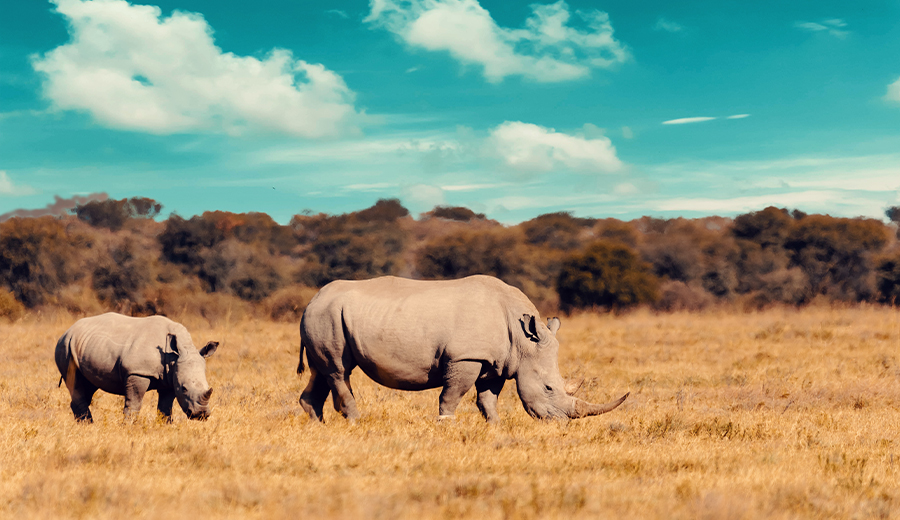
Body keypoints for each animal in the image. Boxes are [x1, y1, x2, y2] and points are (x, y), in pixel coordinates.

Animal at [54, 312, 219, 422]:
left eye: (208, 386)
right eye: (184, 388)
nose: (201, 414)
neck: (174, 355)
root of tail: (68, 330)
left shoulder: (171, 377)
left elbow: (165, 407)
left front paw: (164, 427)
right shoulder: (138, 372)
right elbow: (134, 403)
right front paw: (128, 428)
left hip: (85, 346)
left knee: (88, 386)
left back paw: (85, 424)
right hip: (65, 346)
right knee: (75, 382)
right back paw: (88, 425)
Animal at [297, 275, 628, 422]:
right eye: (548, 388)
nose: (561, 423)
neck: (522, 339)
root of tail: (312, 300)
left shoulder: (497, 361)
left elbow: (488, 399)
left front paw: (494, 427)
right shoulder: (466, 356)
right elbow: (452, 395)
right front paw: (447, 424)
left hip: (323, 315)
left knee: (321, 372)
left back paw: (317, 426)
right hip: (327, 316)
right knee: (339, 371)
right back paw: (356, 421)